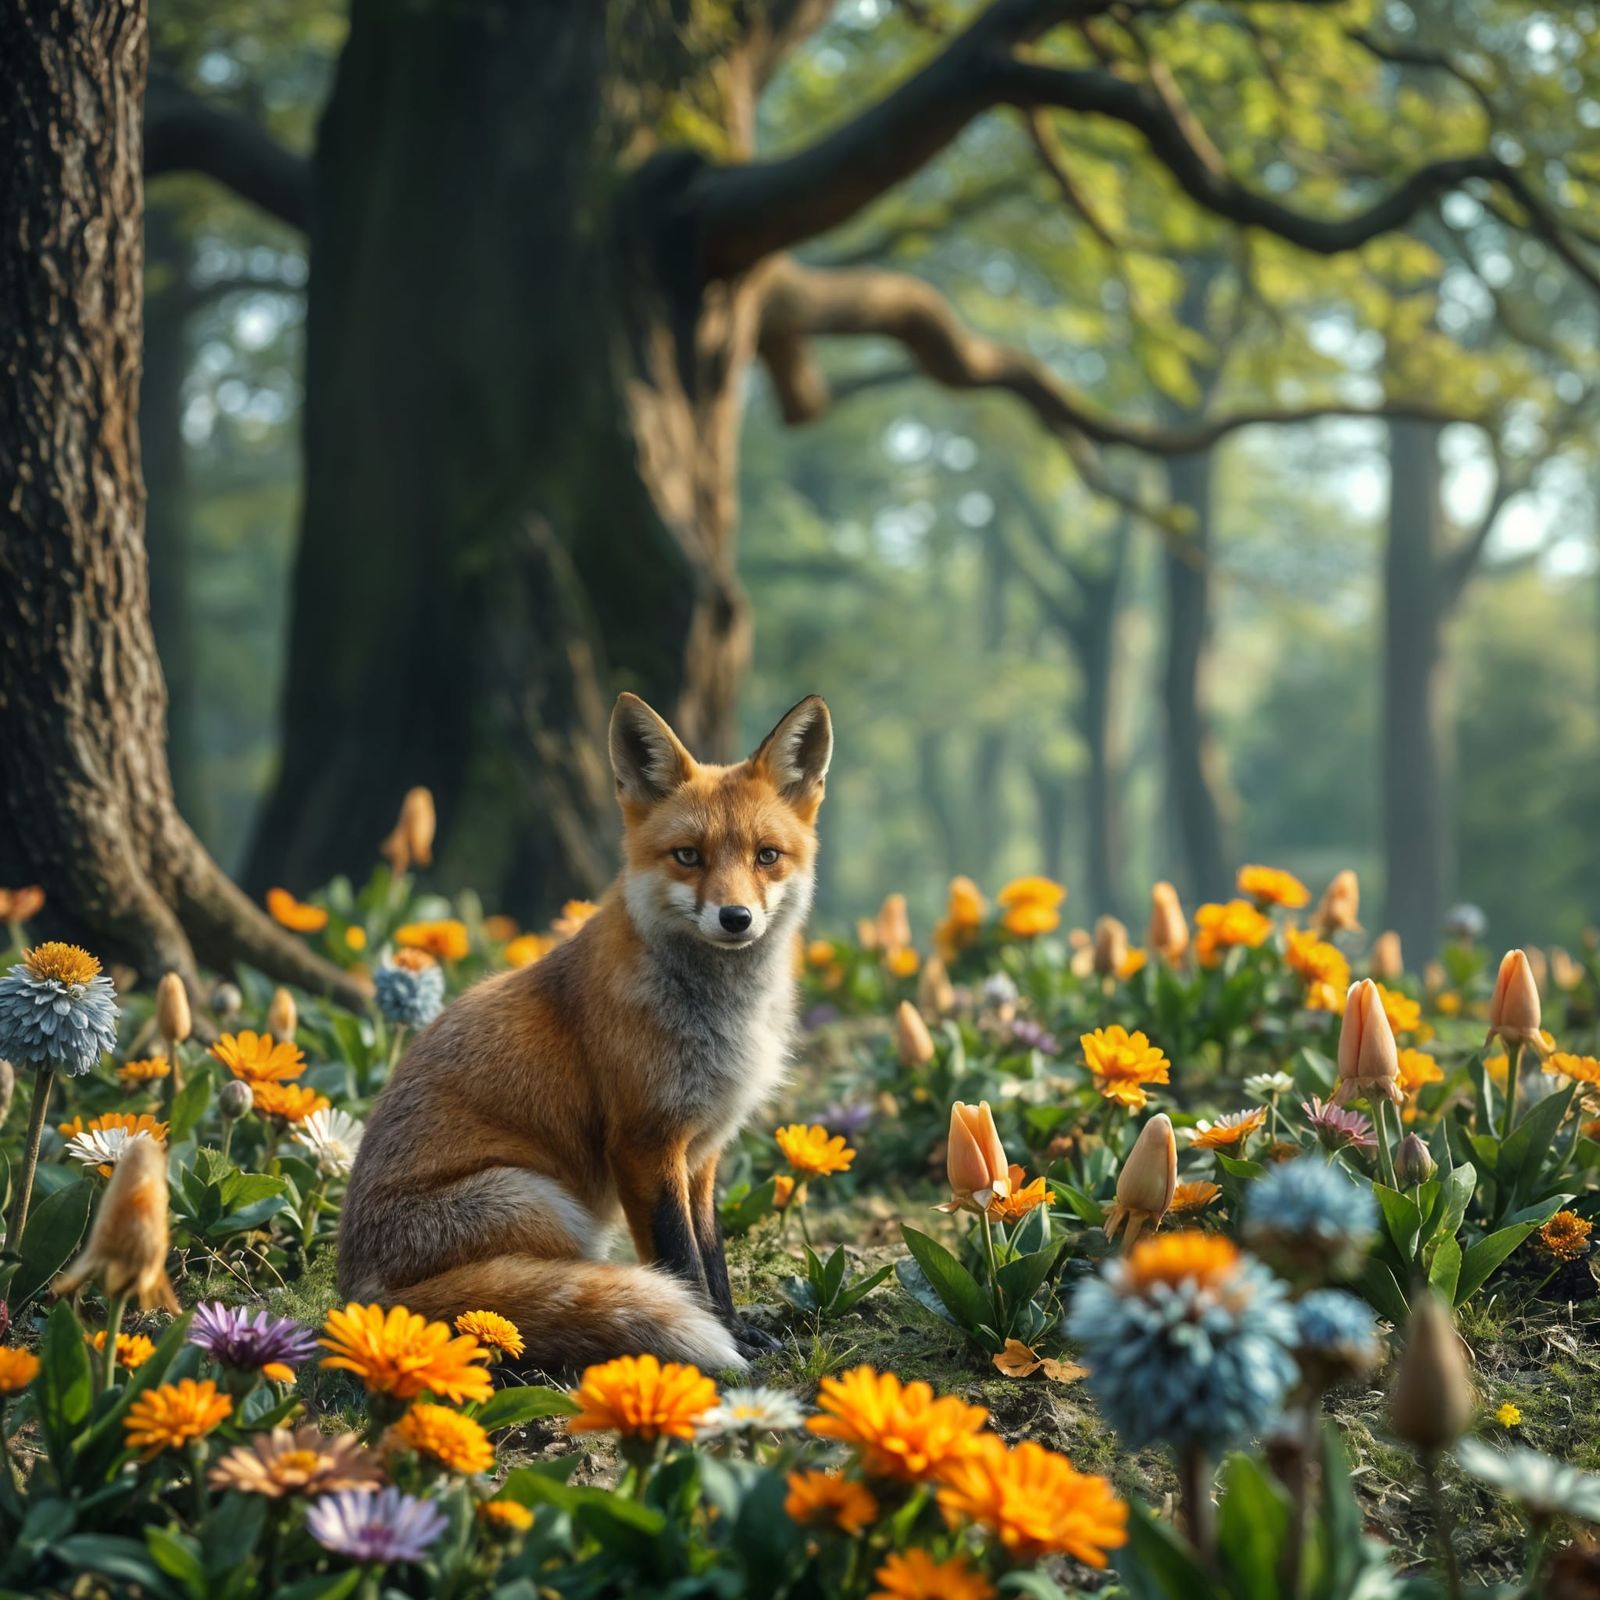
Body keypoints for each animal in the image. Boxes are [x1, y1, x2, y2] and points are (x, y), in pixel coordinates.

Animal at [337, 691, 833, 1372]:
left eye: (766, 856)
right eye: (689, 855)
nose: (736, 918)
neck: (722, 1018)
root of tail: (359, 1299)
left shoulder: (701, 1150)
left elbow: (712, 1257)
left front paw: (735, 1327)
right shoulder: (645, 1143)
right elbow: (682, 1264)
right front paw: (720, 1340)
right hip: (543, 1204)